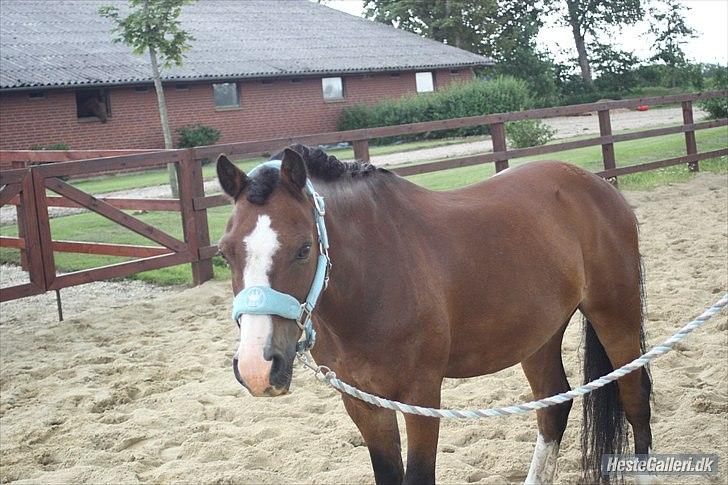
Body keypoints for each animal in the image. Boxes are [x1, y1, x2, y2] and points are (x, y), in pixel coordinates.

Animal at [215, 145, 653, 485]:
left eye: (304, 248)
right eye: (225, 251)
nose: (257, 367)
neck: (376, 275)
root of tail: (597, 184)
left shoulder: (421, 397)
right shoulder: (362, 402)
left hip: (616, 316)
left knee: (635, 398)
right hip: (538, 336)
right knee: (553, 405)